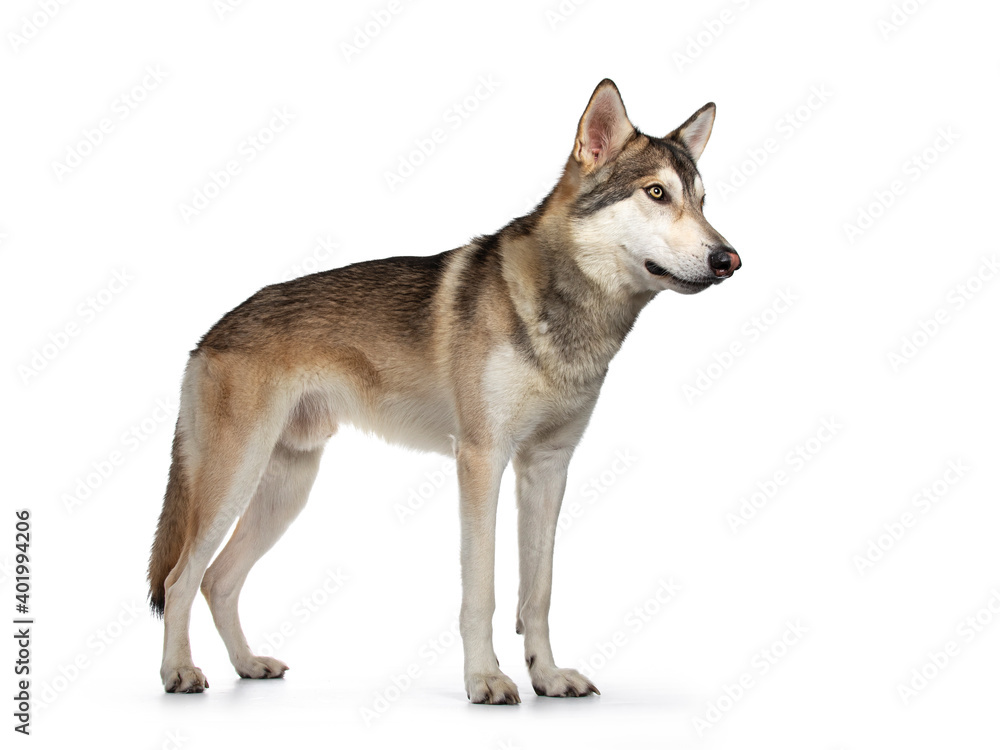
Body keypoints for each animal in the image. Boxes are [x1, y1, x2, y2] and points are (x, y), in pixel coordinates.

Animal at [150, 81, 744, 704]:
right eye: (657, 193)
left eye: (703, 201)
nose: (729, 259)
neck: (567, 320)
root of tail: (208, 335)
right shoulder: (482, 461)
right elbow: (481, 592)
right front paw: (485, 679)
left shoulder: (549, 467)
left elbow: (538, 594)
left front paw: (547, 677)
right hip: (235, 480)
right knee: (180, 578)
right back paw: (179, 673)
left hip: (286, 491)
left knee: (219, 581)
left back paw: (248, 665)